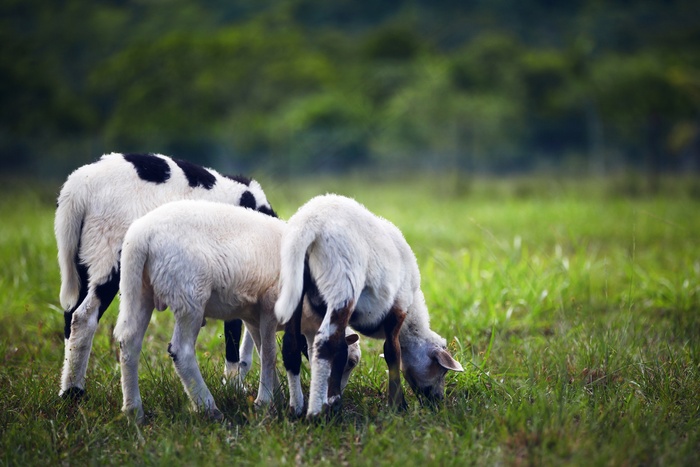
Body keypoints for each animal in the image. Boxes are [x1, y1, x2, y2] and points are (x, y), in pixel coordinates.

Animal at [55, 153, 276, 398]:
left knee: (70, 315)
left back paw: (67, 390)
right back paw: (75, 392)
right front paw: (234, 385)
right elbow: (234, 329)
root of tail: (78, 187)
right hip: (110, 254)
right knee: (84, 317)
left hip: (84, 258)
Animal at [113, 199, 360, 422]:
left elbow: (263, 351)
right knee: (181, 351)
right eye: (349, 362)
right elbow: (269, 354)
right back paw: (209, 408)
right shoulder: (270, 305)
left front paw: (276, 395)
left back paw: (134, 412)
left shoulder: (254, 318)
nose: (334, 403)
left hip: (139, 290)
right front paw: (266, 402)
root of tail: (141, 236)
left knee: (129, 343)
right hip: (190, 295)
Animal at [274, 192, 464, 418]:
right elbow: (392, 352)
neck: (412, 317)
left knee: (292, 344)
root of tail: (309, 223)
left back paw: (297, 408)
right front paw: (397, 406)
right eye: (442, 370)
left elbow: (342, 350)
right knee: (325, 343)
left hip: (293, 283)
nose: (437, 401)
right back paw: (317, 413)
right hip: (342, 282)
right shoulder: (398, 308)